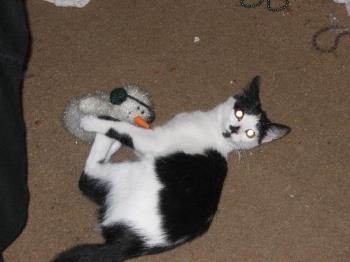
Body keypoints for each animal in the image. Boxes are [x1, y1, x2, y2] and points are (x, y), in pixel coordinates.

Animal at [54, 75, 290, 262]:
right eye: (239, 113)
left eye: (250, 133)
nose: (234, 129)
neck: (215, 131)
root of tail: (131, 244)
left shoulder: (153, 140)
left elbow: (124, 129)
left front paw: (96, 120)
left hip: (126, 175)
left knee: (88, 176)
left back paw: (98, 123)